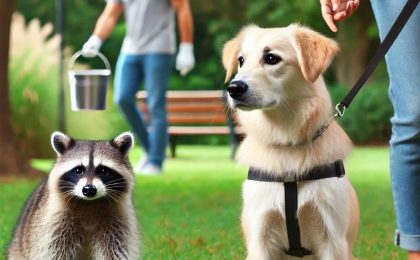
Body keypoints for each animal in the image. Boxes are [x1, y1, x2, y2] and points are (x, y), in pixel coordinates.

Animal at [7, 132, 141, 260]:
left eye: (103, 170)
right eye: (78, 170)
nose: (89, 189)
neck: (89, 203)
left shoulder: (118, 222)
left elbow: (115, 250)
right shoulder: (54, 221)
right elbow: (54, 251)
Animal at [223, 23, 360, 258]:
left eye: (271, 58)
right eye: (241, 60)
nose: (234, 88)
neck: (286, 144)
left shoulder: (332, 239)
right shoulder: (260, 237)